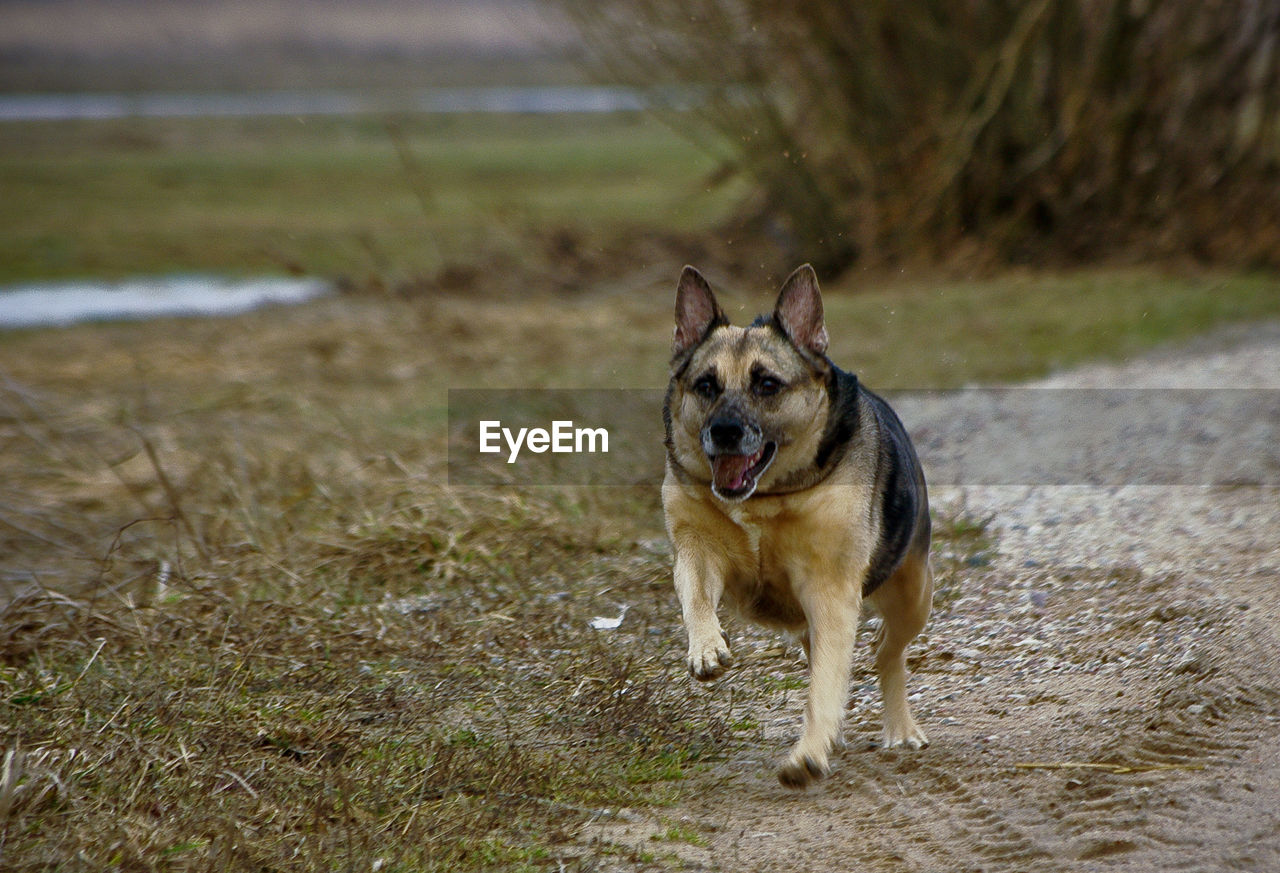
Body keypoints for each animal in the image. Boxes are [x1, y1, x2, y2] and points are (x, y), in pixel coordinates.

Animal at [660, 262, 931, 783]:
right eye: (706, 385)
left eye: (767, 385)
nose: (724, 432)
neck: (766, 497)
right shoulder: (697, 547)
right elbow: (696, 597)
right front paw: (707, 649)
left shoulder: (831, 589)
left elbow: (828, 681)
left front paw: (808, 754)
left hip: (914, 592)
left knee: (886, 651)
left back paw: (899, 728)